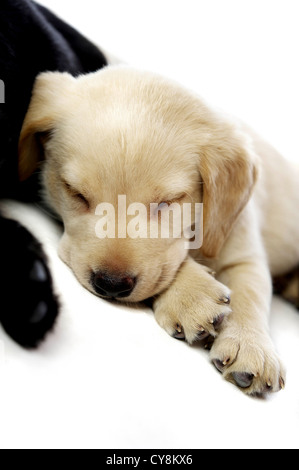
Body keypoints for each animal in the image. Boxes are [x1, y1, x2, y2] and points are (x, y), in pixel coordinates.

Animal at [18, 66, 299, 394]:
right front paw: (193, 295)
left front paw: (250, 346)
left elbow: (249, 293)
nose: (111, 284)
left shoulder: (240, 245)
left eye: (168, 201)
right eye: (76, 193)